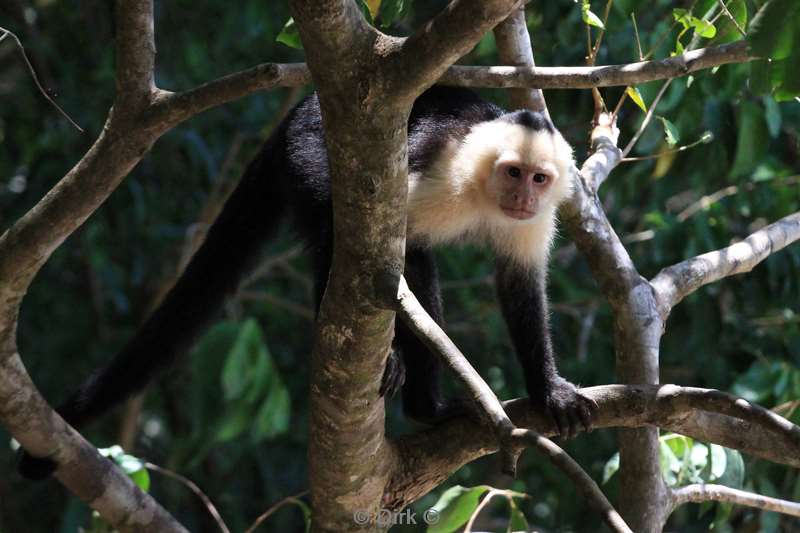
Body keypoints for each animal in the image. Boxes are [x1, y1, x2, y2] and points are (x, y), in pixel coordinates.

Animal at [17, 86, 592, 478]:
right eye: (513, 171)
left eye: (539, 178)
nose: (523, 195)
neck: (482, 191)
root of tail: (301, 109)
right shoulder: (442, 169)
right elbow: (387, 247)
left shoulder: (537, 217)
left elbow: (520, 287)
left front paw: (549, 390)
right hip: (309, 151)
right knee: (348, 240)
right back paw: (418, 399)